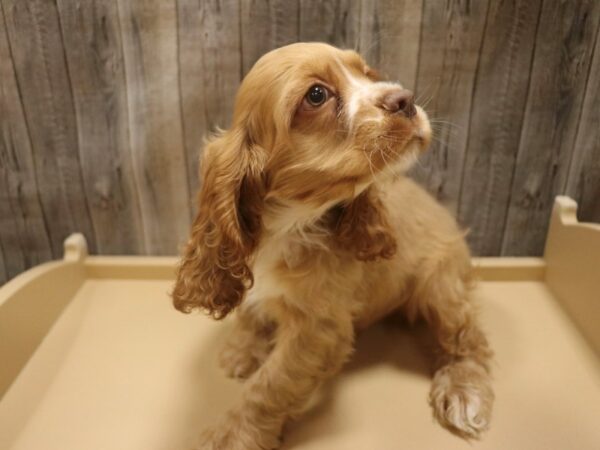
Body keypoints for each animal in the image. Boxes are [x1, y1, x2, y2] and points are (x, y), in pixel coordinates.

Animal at [172, 40, 492, 448]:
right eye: (316, 95)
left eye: (368, 73)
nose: (405, 99)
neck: (290, 225)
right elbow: (250, 310)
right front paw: (242, 349)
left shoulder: (318, 330)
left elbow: (270, 386)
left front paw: (232, 435)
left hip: (441, 287)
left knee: (468, 339)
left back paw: (465, 391)